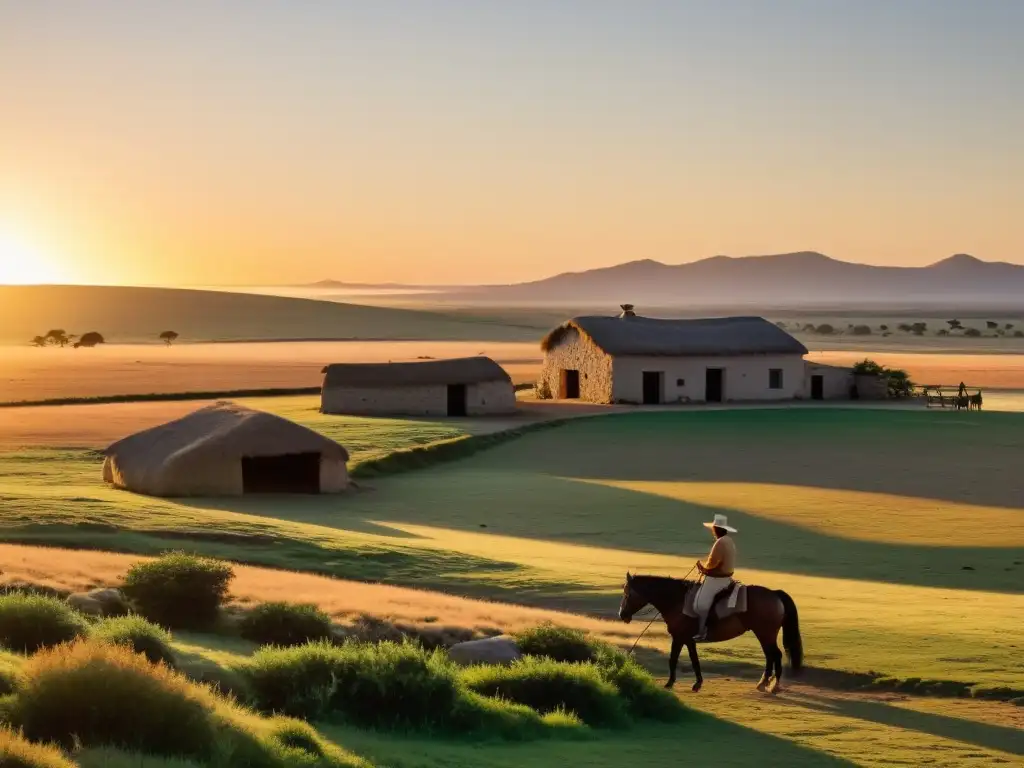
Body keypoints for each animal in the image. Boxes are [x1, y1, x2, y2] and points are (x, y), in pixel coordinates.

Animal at [618, 573, 802, 696]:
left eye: (627, 593)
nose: (622, 615)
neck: (677, 601)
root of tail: (774, 593)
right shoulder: (688, 639)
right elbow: (694, 660)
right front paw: (697, 683)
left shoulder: (679, 637)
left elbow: (673, 659)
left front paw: (669, 683)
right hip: (764, 634)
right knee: (770, 655)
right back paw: (763, 683)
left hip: (765, 633)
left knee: (775, 655)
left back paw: (773, 686)